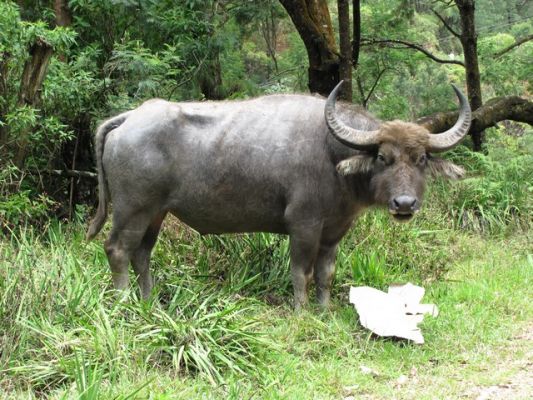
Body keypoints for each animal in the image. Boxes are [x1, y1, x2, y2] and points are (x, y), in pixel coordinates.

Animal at [86, 81, 471, 310]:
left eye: (421, 159)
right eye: (382, 157)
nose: (404, 204)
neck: (332, 154)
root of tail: (130, 118)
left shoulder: (334, 232)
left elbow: (326, 273)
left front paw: (324, 310)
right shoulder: (303, 225)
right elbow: (301, 272)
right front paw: (302, 313)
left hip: (156, 213)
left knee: (142, 254)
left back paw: (149, 304)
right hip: (132, 210)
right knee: (117, 250)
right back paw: (124, 305)